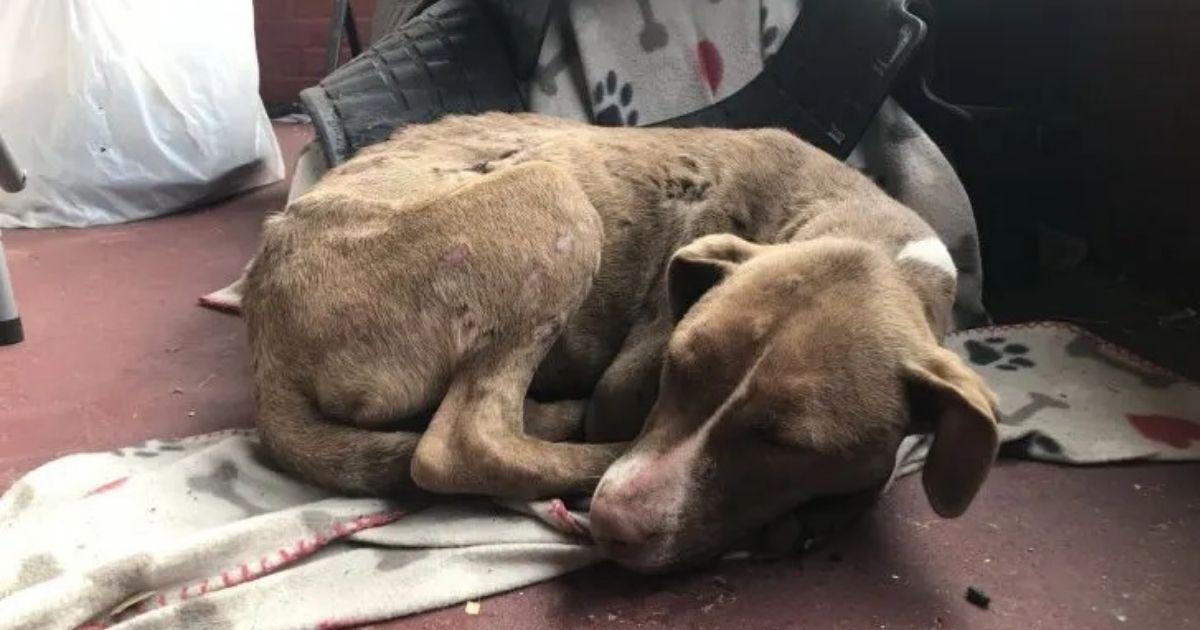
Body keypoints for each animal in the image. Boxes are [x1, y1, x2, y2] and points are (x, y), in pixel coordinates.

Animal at [238, 111, 998, 568]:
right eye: (675, 371)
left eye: (788, 447)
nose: (615, 522)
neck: (875, 237)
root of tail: (265, 344)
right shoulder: (627, 386)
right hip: (552, 200)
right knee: (464, 442)